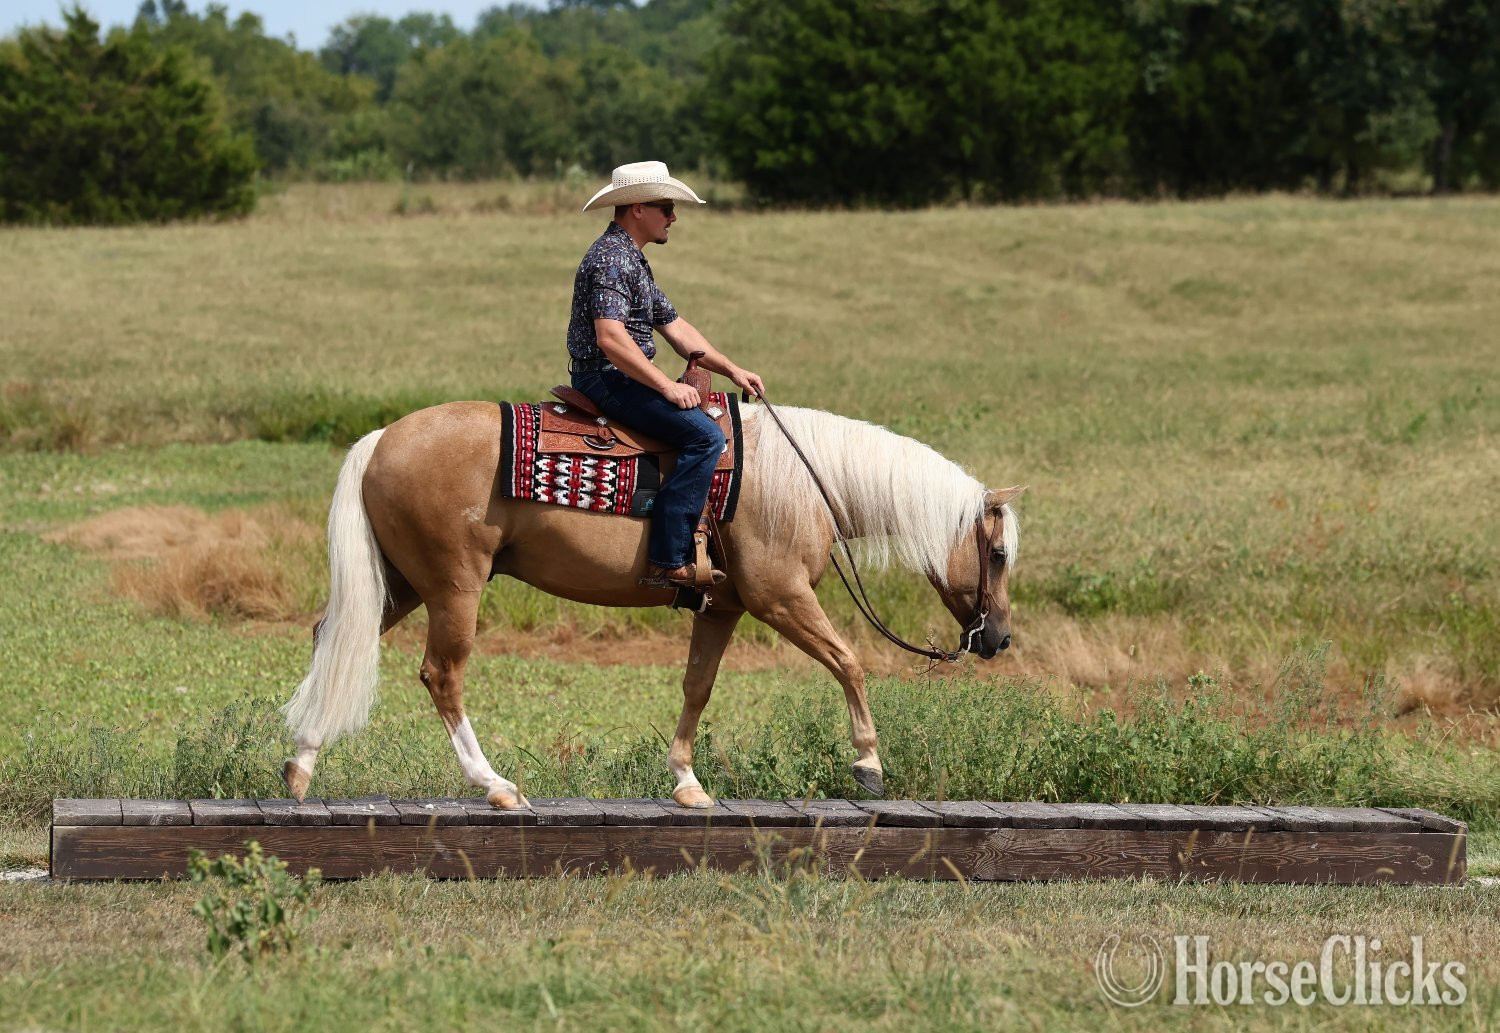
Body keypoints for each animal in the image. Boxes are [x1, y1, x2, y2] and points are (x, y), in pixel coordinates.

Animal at [280, 400, 1023, 810]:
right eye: (996, 554)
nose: (998, 639)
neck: (803, 479)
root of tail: (381, 438)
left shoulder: (723, 607)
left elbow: (698, 686)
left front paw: (687, 781)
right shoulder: (779, 595)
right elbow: (849, 661)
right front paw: (868, 763)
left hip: (404, 585)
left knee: (332, 638)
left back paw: (301, 764)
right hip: (454, 588)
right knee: (442, 675)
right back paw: (496, 785)